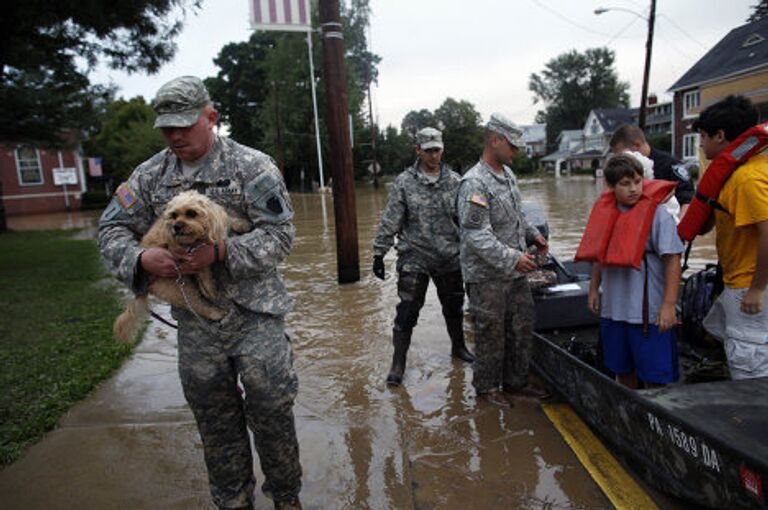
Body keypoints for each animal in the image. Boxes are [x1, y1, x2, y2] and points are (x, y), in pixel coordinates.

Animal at [113, 191, 249, 342]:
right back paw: (217, 313)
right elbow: (205, 276)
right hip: (179, 288)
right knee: (198, 305)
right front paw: (211, 290)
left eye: (191, 213)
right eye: (173, 215)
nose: (176, 226)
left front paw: (241, 224)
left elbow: (228, 219)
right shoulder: (191, 257)